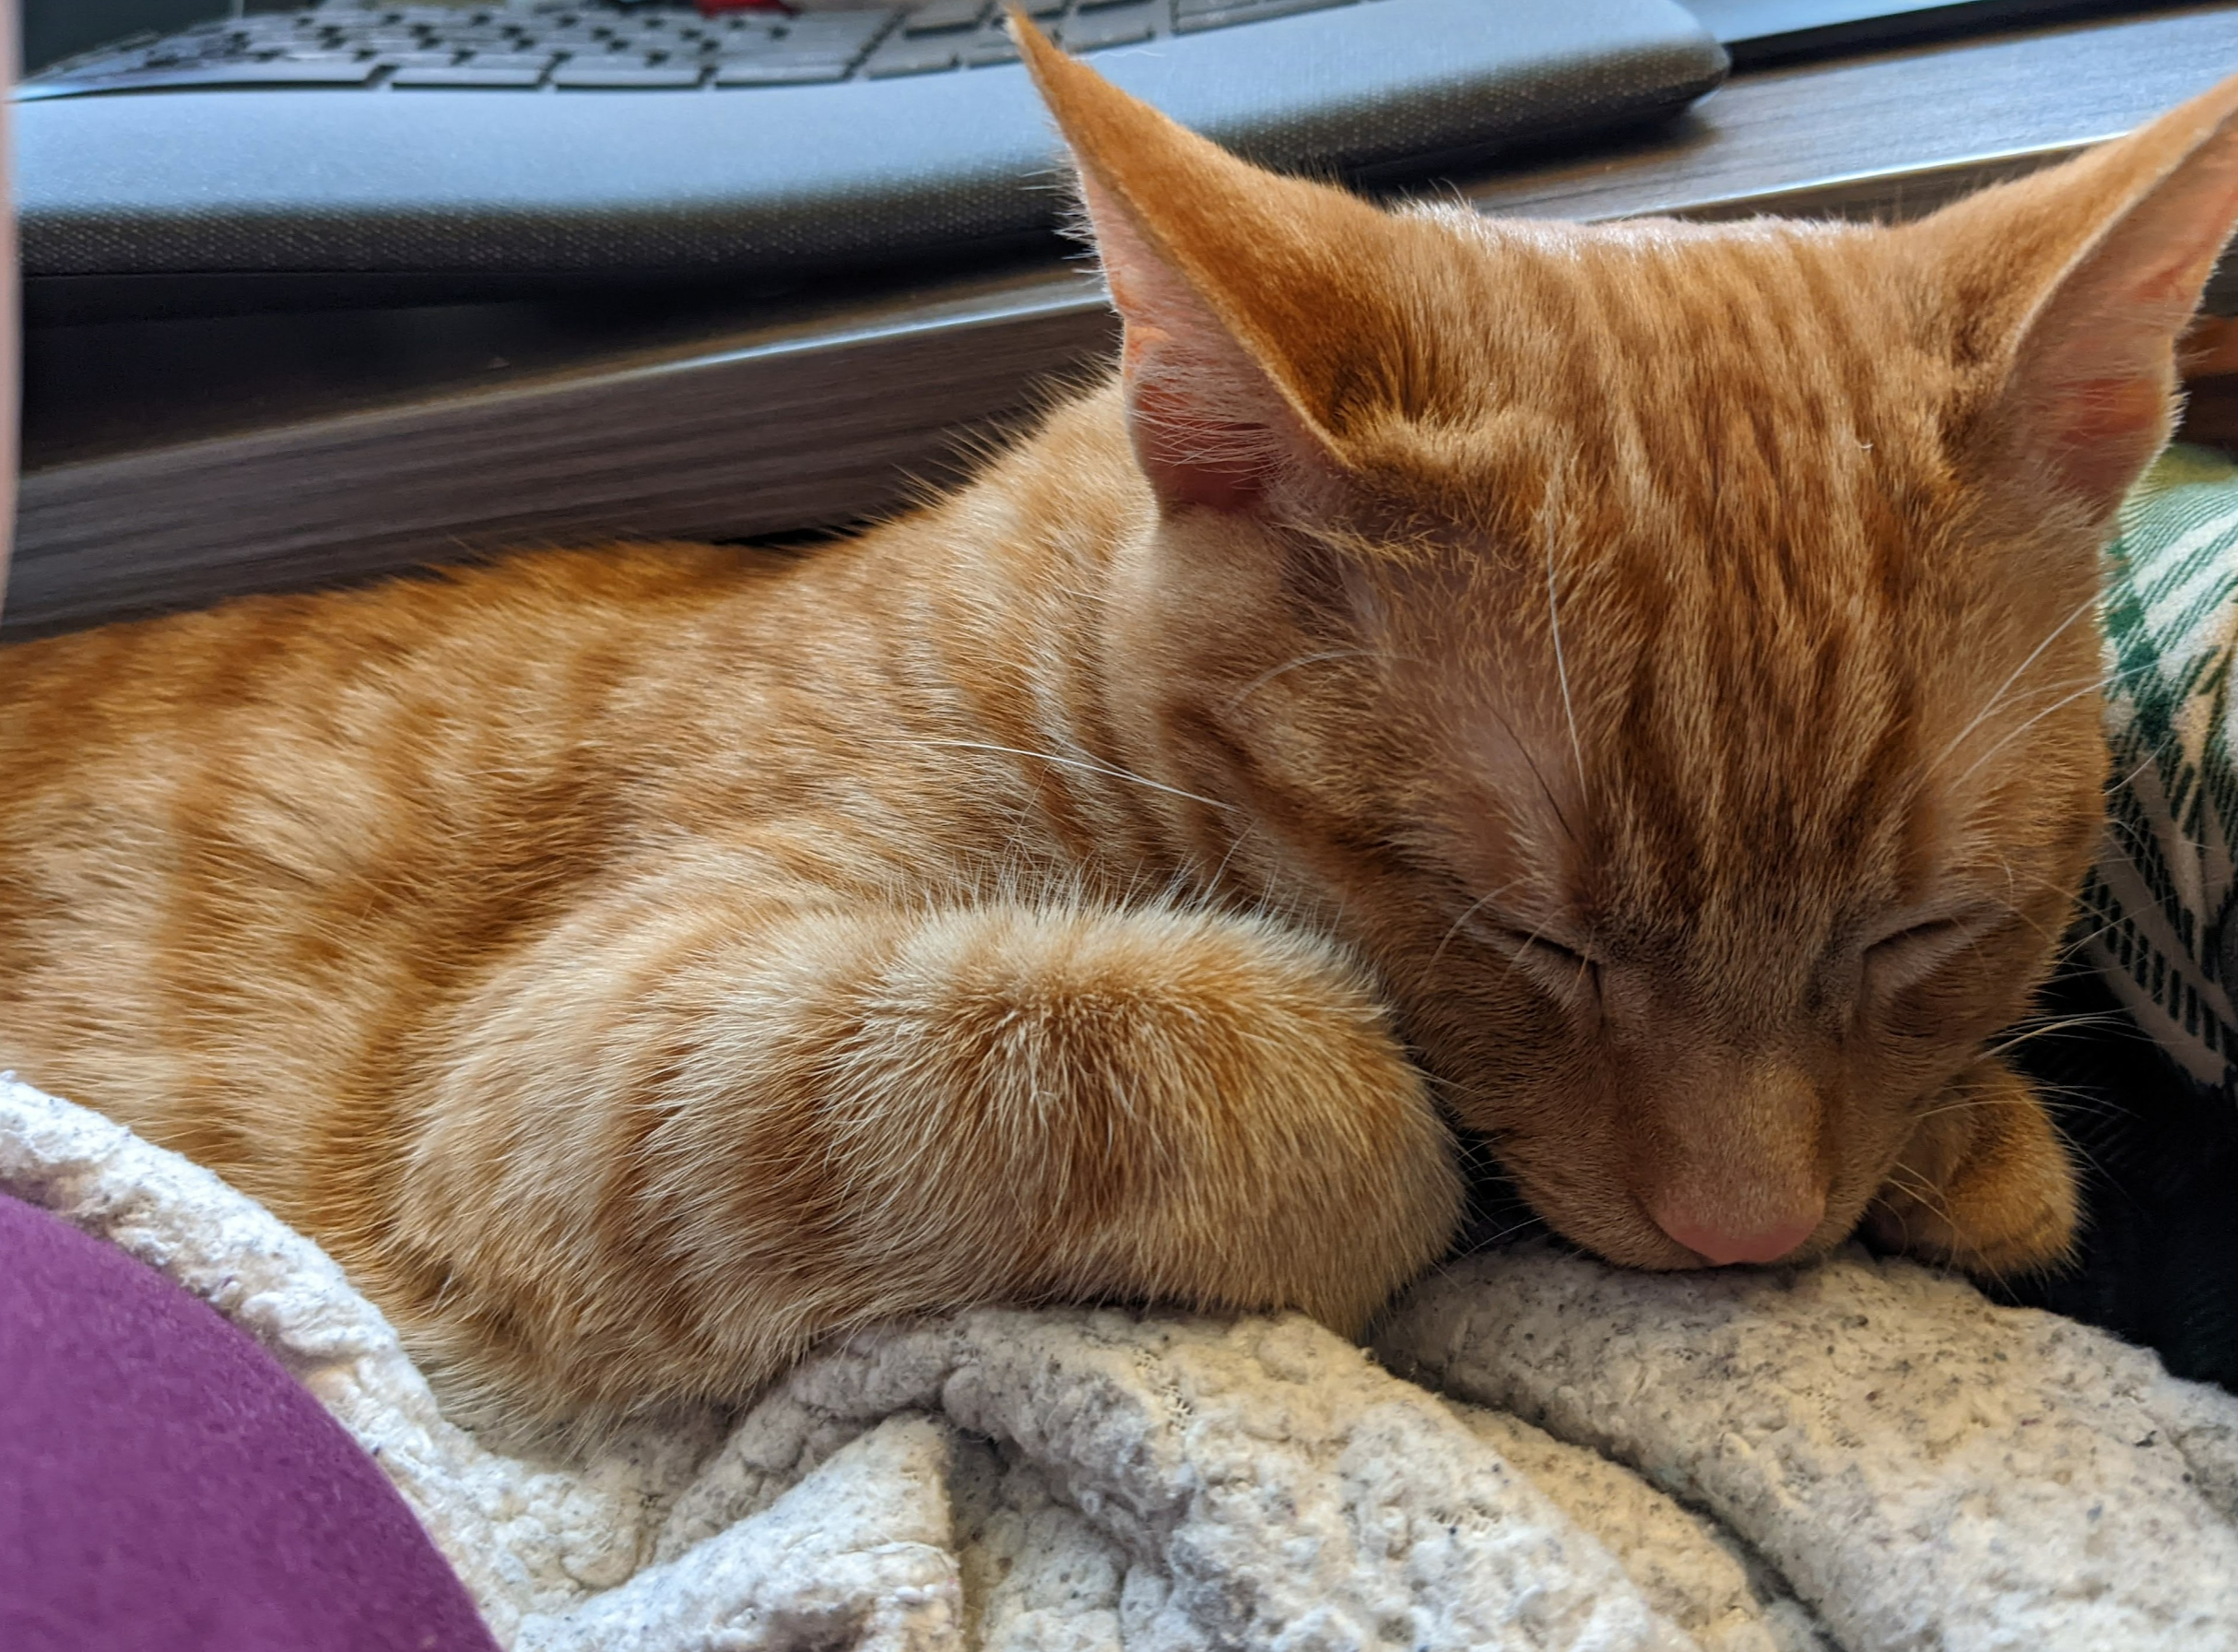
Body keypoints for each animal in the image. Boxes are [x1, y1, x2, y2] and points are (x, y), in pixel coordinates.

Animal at [4, 31, 2238, 1433]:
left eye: (1925, 927)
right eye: (1518, 934)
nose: (1746, 1235)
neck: (1080, 664)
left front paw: (1945, 1134)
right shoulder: (578, 1065)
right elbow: (1269, 1069)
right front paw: (1408, 1160)